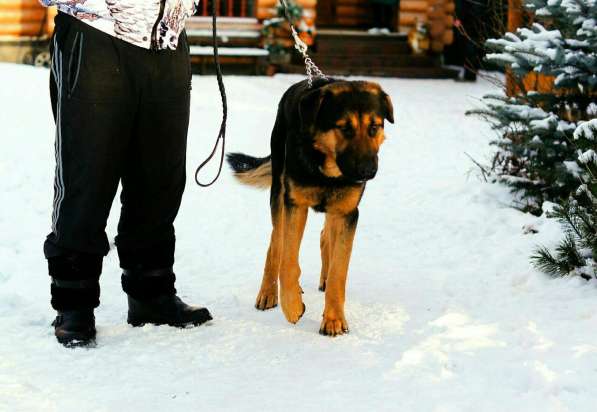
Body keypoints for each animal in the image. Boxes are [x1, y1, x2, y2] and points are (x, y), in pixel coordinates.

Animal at [226, 79, 394, 336]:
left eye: (374, 127)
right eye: (344, 128)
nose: (367, 171)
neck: (327, 172)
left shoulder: (347, 213)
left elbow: (338, 271)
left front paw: (334, 318)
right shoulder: (295, 205)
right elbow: (287, 261)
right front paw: (292, 305)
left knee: (326, 236)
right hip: (279, 192)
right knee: (275, 243)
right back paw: (268, 293)